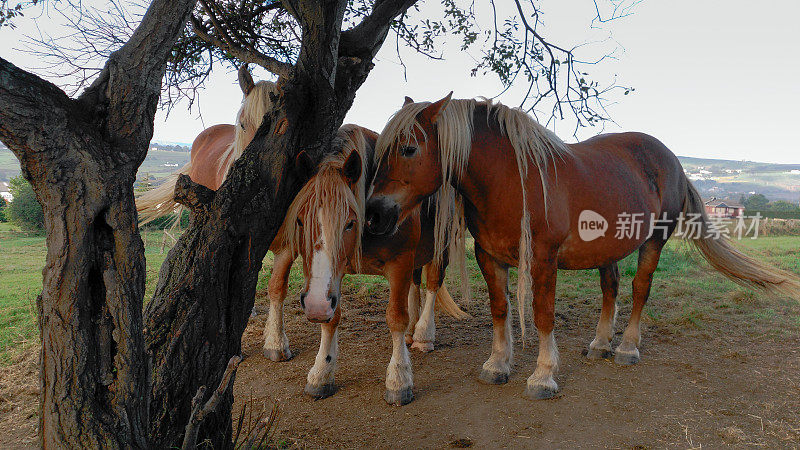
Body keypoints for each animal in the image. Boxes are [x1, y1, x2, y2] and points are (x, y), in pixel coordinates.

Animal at [276, 122, 472, 400]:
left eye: (350, 223)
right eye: (301, 220)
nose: (314, 304)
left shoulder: (400, 262)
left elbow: (396, 317)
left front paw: (399, 380)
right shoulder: (335, 276)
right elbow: (332, 318)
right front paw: (321, 373)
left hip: (439, 250)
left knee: (433, 286)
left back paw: (423, 335)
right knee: (415, 286)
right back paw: (412, 333)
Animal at [366, 94, 800, 400]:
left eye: (408, 148)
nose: (374, 213)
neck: (511, 178)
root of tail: (673, 160)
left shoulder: (543, 259)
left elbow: (543, 316)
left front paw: (543, 376)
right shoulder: (489, 257)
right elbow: (500, 311)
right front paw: (497, 365)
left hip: (654, 241)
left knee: (639, 291)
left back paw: (626, 348)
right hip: (607, 247)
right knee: (611, 288)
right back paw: (599, 344)